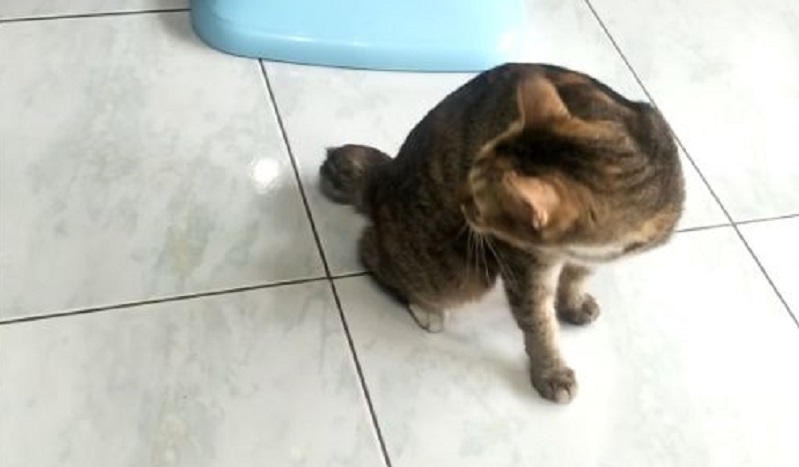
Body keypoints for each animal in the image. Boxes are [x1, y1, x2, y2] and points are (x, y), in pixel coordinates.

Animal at [319, 63, 685, 403]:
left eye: (479, 200)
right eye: (470, 170)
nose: (461, 201)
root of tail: (385, 177)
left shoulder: (590, 256)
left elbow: (578, 276)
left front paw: (573, 301)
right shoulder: (523, 263)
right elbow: (538, 322)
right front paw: (551, 372)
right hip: (458, 271)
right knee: (373, 252)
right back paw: (426, 309)